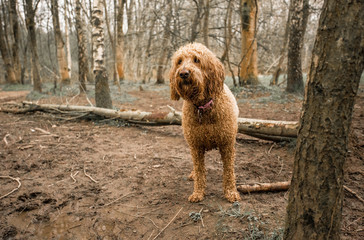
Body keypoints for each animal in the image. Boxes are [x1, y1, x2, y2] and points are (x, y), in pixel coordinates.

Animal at [168, 42, 242, 202]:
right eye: (179, 61)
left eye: (197, 60)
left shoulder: (227, 144)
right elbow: (200, 171)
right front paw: (198, 192)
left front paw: (231, 192)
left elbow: (228, 171)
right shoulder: (196, 146)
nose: (183, 73)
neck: (203, 107)